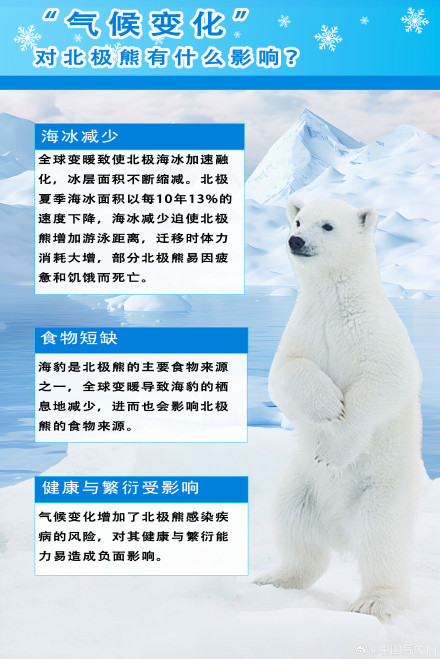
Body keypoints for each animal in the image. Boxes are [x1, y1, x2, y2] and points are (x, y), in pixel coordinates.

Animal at [256, 197, 422, 621]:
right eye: (298, 220)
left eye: (327, 225)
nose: (295, 240)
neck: (335, 303)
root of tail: (338, 530)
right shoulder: (306, 328)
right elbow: (285, 372)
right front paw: (328, 403)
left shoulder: (374, 333)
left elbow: (382, 382)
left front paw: (333, 448)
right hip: (300, 486)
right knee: (294, 528)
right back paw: (274, 577)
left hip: (382, 490)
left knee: (381, 539)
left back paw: (374, 600)